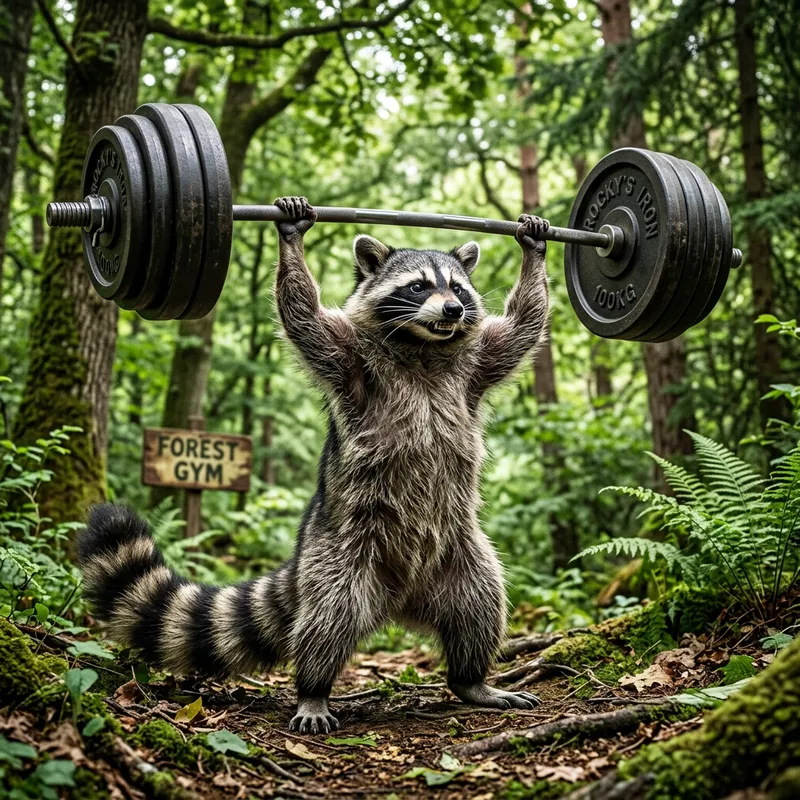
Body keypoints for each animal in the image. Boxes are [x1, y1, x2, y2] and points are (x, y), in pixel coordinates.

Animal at [77, 196, 551, 735]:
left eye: (458, 287)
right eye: (419, 285)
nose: (452, 309)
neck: (423, 345)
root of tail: (402, 600)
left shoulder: (475, 367)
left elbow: (522, 327)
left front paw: (535, 247)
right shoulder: (350, 361)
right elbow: (304, 317)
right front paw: (292, 236)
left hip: (461, 553)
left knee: (481, 603)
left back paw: (472, 679)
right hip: (340, 552)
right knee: (329, 616)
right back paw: (314, 688)